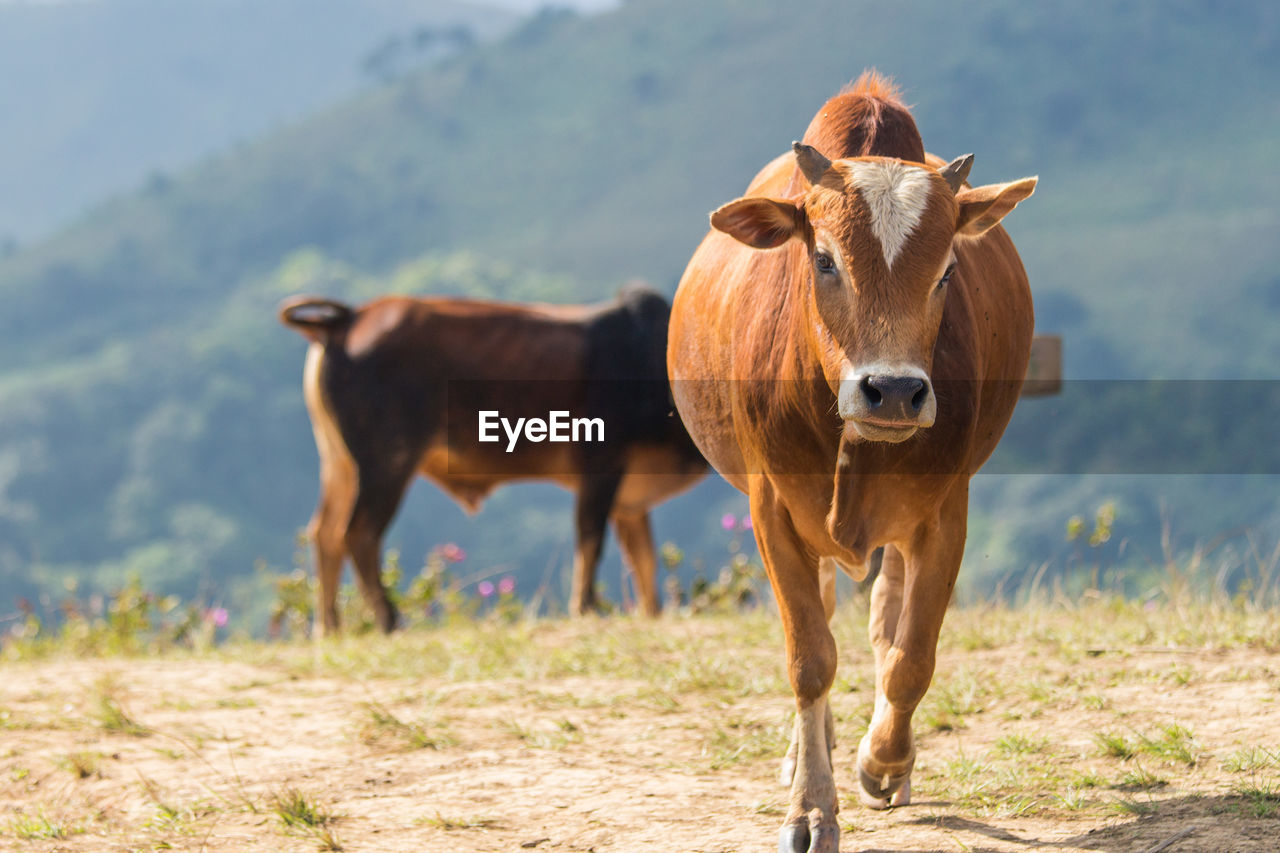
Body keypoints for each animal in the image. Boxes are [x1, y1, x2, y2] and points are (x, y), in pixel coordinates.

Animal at [280, 284, 706, 630]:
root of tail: (350, 318)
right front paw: (586, 608)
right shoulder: (602, 466)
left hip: (340, 463)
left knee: (324, 534)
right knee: (358, 533)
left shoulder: (629, 498)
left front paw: (652, 614)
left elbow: (644, 559)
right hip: (387, 461)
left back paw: (330, 627)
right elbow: (591, 541)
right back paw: (388, 620)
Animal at [670, 74, 1039, 850]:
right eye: (823, 259)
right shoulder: (772, 509)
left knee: (882, 618)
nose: (893, 390)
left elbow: (910, 655)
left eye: (948, 269)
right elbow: (810, 658)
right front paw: (812, 805)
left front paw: (883, 760)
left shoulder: (945, 510)